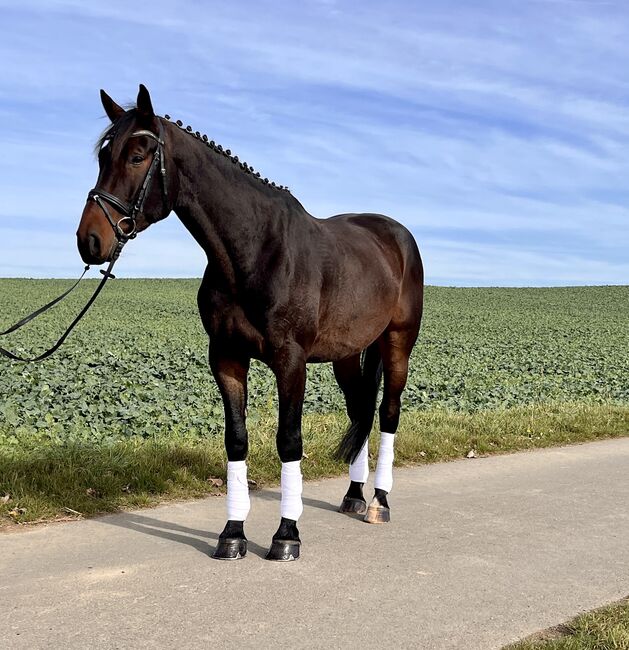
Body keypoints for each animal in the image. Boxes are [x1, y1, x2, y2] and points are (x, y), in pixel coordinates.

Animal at [77, 86, 422, 560]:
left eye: (138, 155)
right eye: (102, 155)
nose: (90, 240)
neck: (254, 251)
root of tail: (395, 234)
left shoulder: (290, 362)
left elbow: (289, 441)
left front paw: (286, 535)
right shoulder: (226, 358)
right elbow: (236, 440)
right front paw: (232, 534)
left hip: (397, 343)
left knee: (387, 413)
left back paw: (379, 502)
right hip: (346, 355)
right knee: (360, 411)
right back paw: (354, 495)